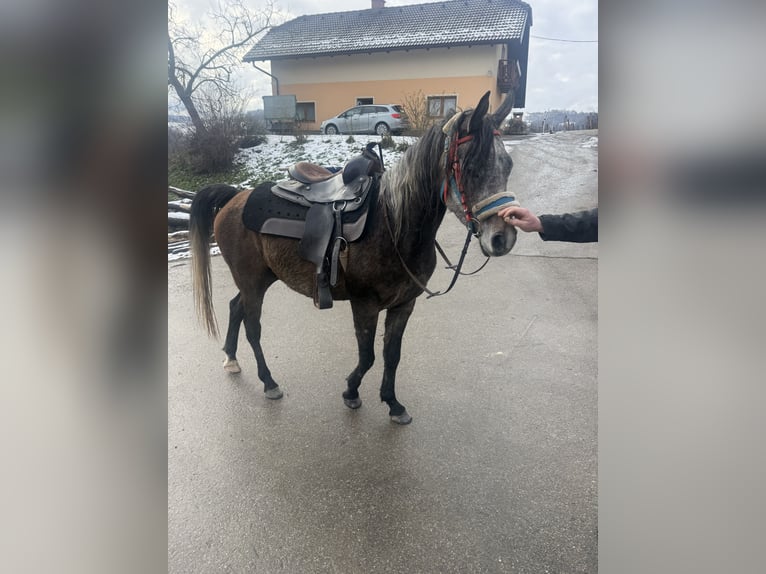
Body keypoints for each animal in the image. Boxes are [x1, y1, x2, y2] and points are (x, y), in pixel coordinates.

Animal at [189, 91, 518, 425]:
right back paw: (268, 382)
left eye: (507, 165)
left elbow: (391, 355)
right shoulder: (365, 304)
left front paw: (393, 403)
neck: (394, 224)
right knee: (252, 327)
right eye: (471, 167)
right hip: (252, 280)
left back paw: (231, 358)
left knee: (235, 308)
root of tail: (234, 197)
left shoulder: (404, 304)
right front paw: (351, 391)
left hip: (262, 278)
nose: (502, 238)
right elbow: (368, 356)